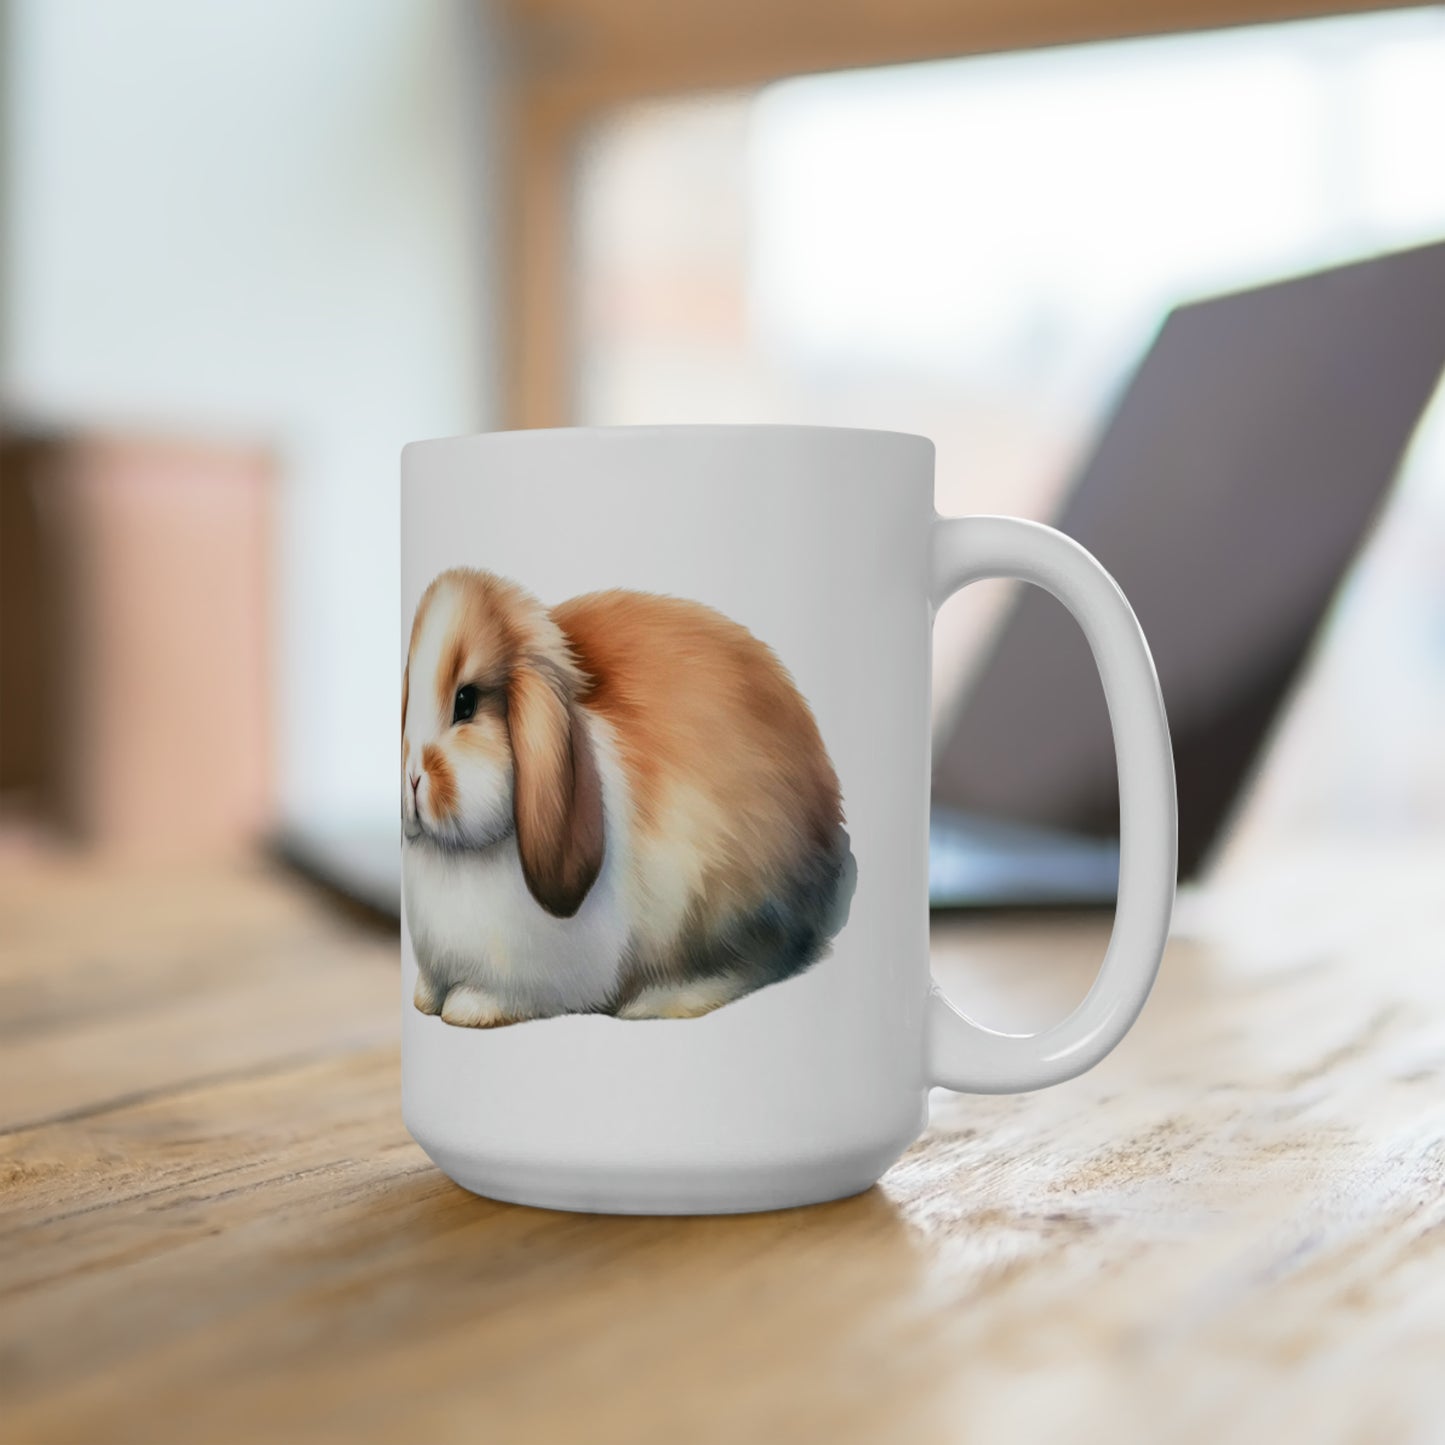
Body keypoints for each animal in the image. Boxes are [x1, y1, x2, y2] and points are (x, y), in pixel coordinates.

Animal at [401, 567, 855, 1027]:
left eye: (466, 702)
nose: (413, 779)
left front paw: (467, 1007)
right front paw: (424, 1000)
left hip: (720, 894)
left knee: (763, 958)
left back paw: (657, 1000)